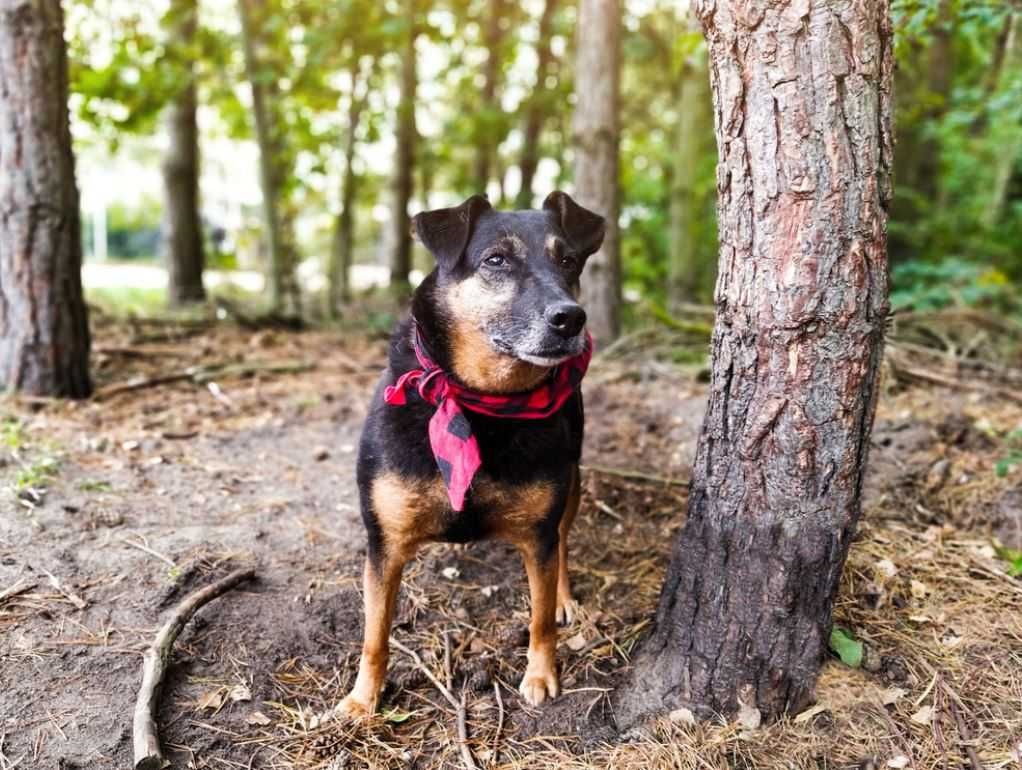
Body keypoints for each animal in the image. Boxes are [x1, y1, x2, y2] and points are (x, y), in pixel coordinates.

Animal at [335, 191, 605, 715]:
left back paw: (565, 597)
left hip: (572, 483)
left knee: (564, 544)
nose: (571, 318)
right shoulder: (384, 542)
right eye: (495, 260)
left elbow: (540, 618)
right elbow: (375, 632)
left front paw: (540, 675)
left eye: (568, 261)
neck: (481, 401)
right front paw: (363, 699)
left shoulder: (538, 535)